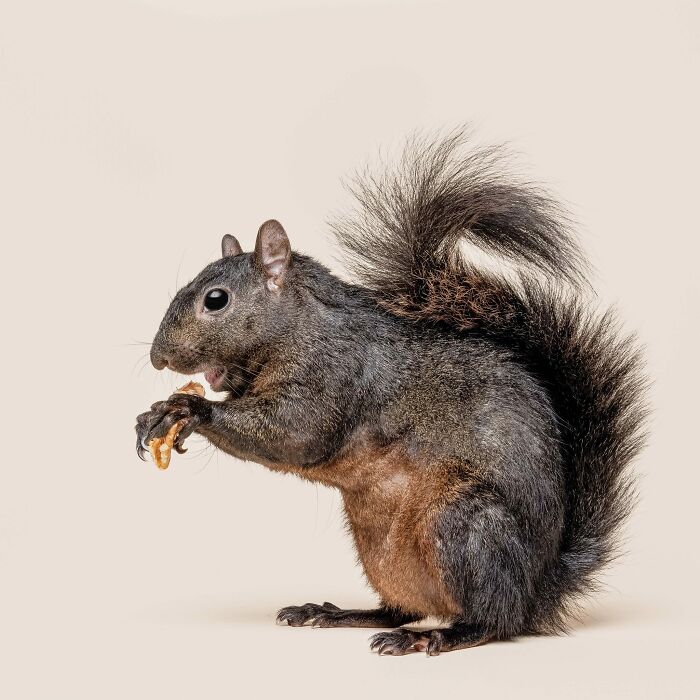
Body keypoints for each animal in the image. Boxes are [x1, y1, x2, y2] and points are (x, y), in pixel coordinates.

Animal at [135, 130, 647, 656]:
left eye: (215, 300)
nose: (157, 358)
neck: (299, 328)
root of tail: (540, 589)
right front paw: (156, 413)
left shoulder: (333, 375)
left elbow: (294, 434)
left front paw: (190, 408)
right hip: (379, 545)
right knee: (399, 607)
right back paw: (334, 613)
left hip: (466, 525)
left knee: (493, 620)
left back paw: (436, 636)